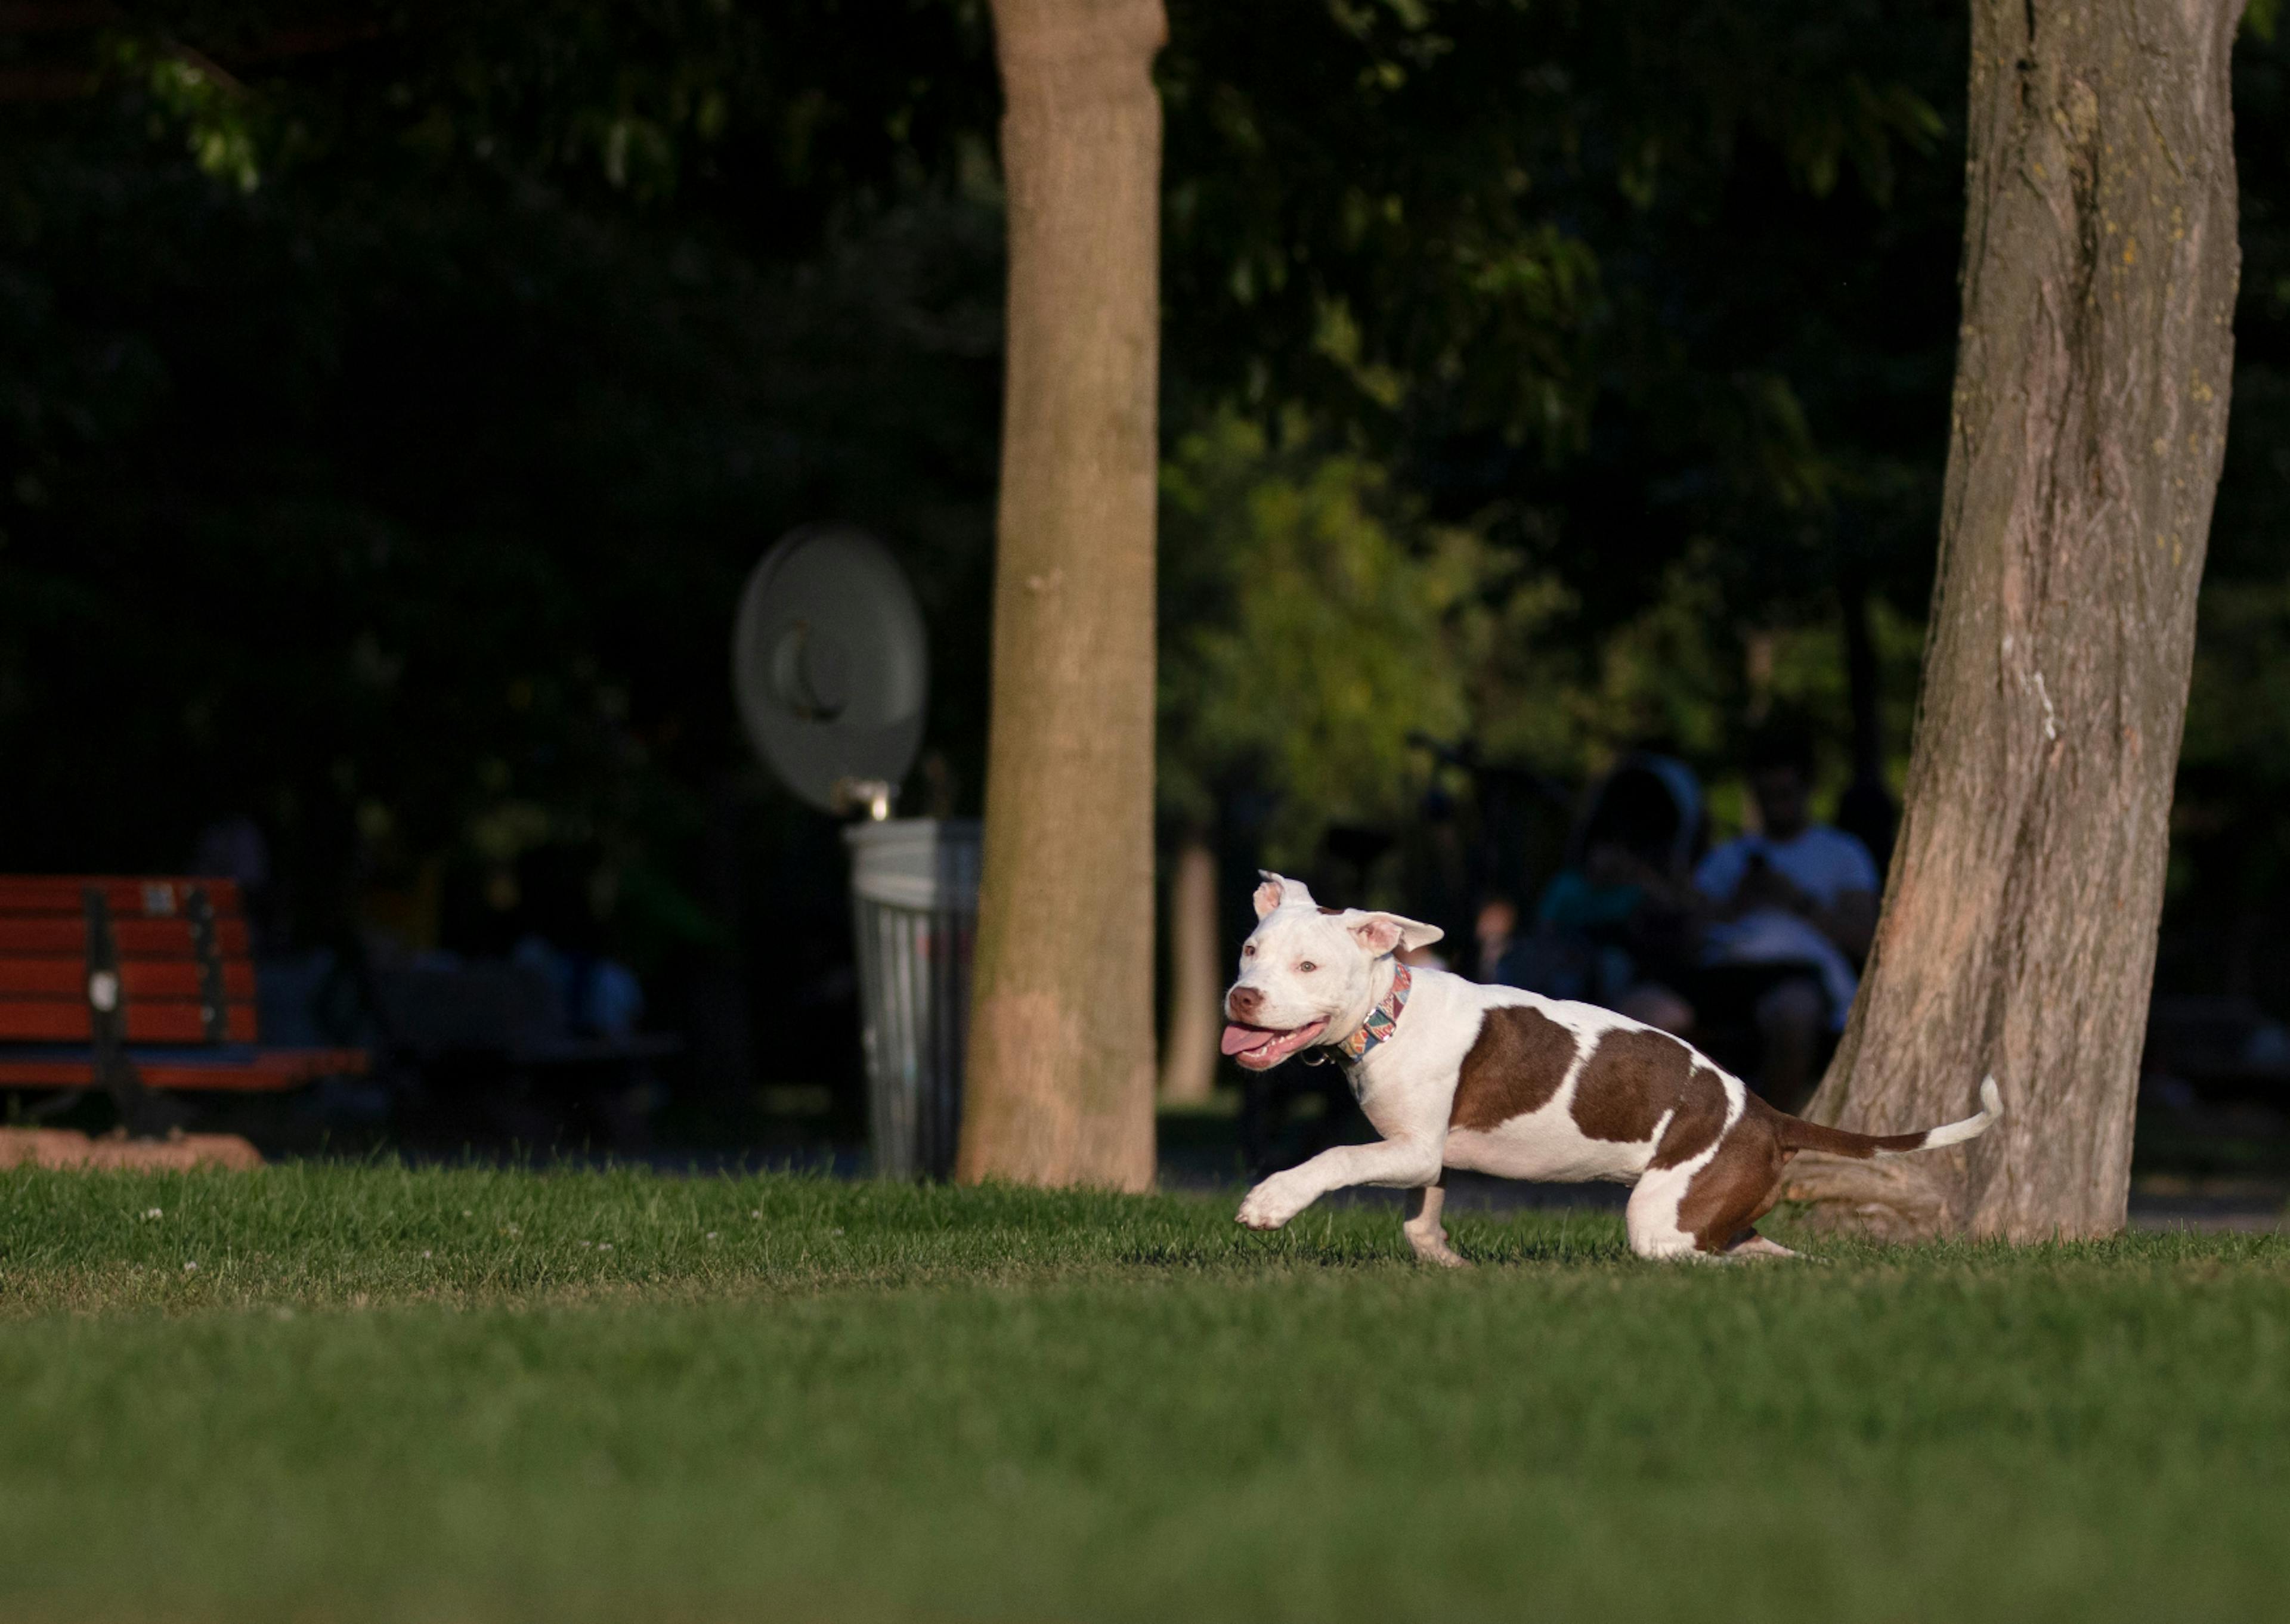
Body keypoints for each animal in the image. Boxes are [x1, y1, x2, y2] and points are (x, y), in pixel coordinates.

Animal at [1218, 875, 2006, 1255]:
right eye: (1252, 950)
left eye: (1310, 966)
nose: (1242, 997)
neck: (1390, 1015)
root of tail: (1766, 1115)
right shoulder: (1427, 1155)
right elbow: (1422, 1221)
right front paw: (1449, 1265)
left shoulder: (1408, 1150)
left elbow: (1338, 1156)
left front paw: (1272, 1201)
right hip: (1714, 1212)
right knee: (1764, 1253)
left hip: (1662, 1213)